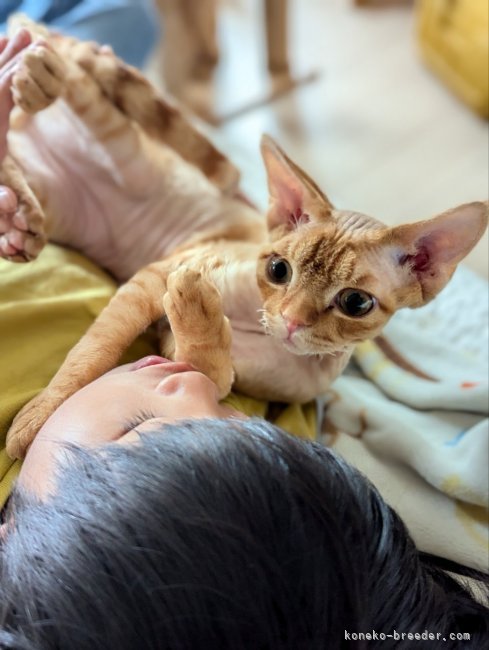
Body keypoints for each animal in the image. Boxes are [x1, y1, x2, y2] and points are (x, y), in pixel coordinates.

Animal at [1, 21, 486, 456]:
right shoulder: (154, 278)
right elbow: (93, 354)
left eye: (355, 302)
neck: (263, 334)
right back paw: (41, 69)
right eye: (278, 270)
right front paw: (40, 416)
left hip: (54, 200)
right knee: (77, 76)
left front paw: (196, 311)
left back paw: (18, 216)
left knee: (12, 154)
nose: (290, 320)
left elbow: (212, 376)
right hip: (110, 129)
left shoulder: (175, 347)